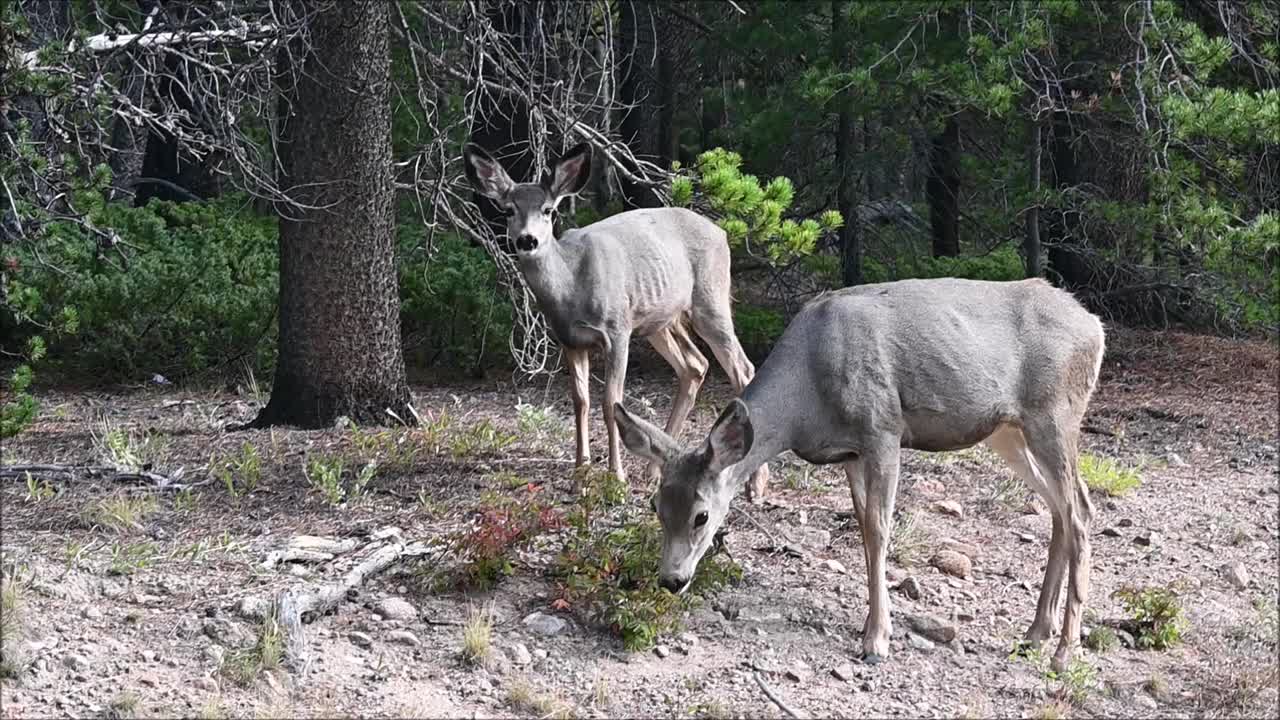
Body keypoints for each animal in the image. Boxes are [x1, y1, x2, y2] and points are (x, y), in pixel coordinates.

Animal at [465, 142, 762, 497]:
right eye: (509, 210)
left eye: (549, 210)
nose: (527, 240)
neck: (571, 288)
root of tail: (721, 231)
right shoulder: (569, 340)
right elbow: (580, 401)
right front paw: (580, 476)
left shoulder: (617, 330)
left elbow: (611, 402)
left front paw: (616, 477)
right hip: (659, 320)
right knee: (696, 365)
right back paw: (655, 469)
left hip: (709, 300)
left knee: (743, 368)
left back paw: (755, 485)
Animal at [614, 278, 1105, 671]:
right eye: (656, 506)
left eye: (701, 515)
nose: (671, 579)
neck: (806, 399)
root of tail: (1095, 326)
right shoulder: (849, 452)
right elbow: (865, 529)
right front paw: (870, 626)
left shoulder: (883, 429)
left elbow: (881, 529)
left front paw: (877, 641)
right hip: (1008, 432)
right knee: (1061, 509)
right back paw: (1035, 633)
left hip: (1054, 414)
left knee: (1080, 509)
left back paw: (1064, 651)